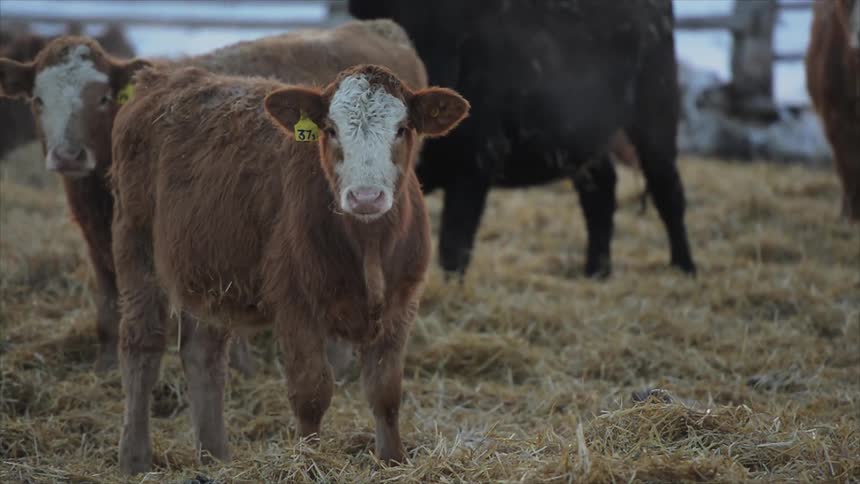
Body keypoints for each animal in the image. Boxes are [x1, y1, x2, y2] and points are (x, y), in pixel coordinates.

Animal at [0, 19, 426, 375]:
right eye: (38, 100)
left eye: (103, 98)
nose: (68, 155)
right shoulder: (104, 240)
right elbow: (108, 303)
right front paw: (105, 367)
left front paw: (243, 369)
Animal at [109, 63, 468, 473]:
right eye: (330, 129)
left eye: (402, 128)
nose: (365, 197)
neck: (369, 246)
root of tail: (164, 77)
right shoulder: (296, 305)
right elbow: (311, 393)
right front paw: (310, 461)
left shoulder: (401, 304)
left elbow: (386, 392)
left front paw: (394, 460)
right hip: (135, 247)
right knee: (142, 345)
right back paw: (135, 457)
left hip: (208, 273)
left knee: (203, 356)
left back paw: (216, 456)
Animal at [348, 0, 697, 278]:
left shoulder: (476, 164)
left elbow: (454, 247)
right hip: (581, 138)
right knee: (601, 190)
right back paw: (597, 272)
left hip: (656, 111)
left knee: (668, 190)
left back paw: (684, 268)